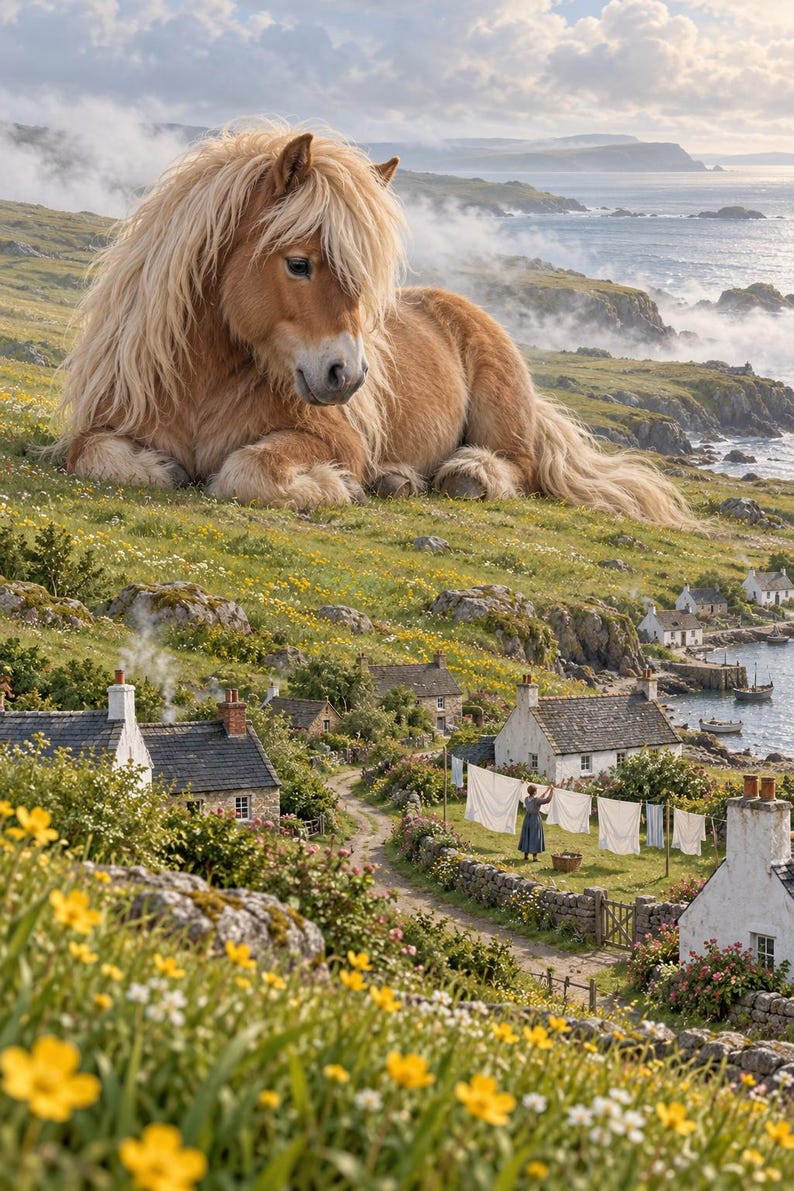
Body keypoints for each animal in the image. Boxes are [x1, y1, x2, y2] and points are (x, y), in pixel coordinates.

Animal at [58, 123, 694, 527]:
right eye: (299, 263)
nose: (348, 376)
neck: (202, 384)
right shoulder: (101, 425)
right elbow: (93, 456)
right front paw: (158, 467)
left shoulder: (334, 439)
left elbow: (248, 469)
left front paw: (328, 487)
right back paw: (399, 480)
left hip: (501, 415)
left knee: (519, 466)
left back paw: (465, 475)